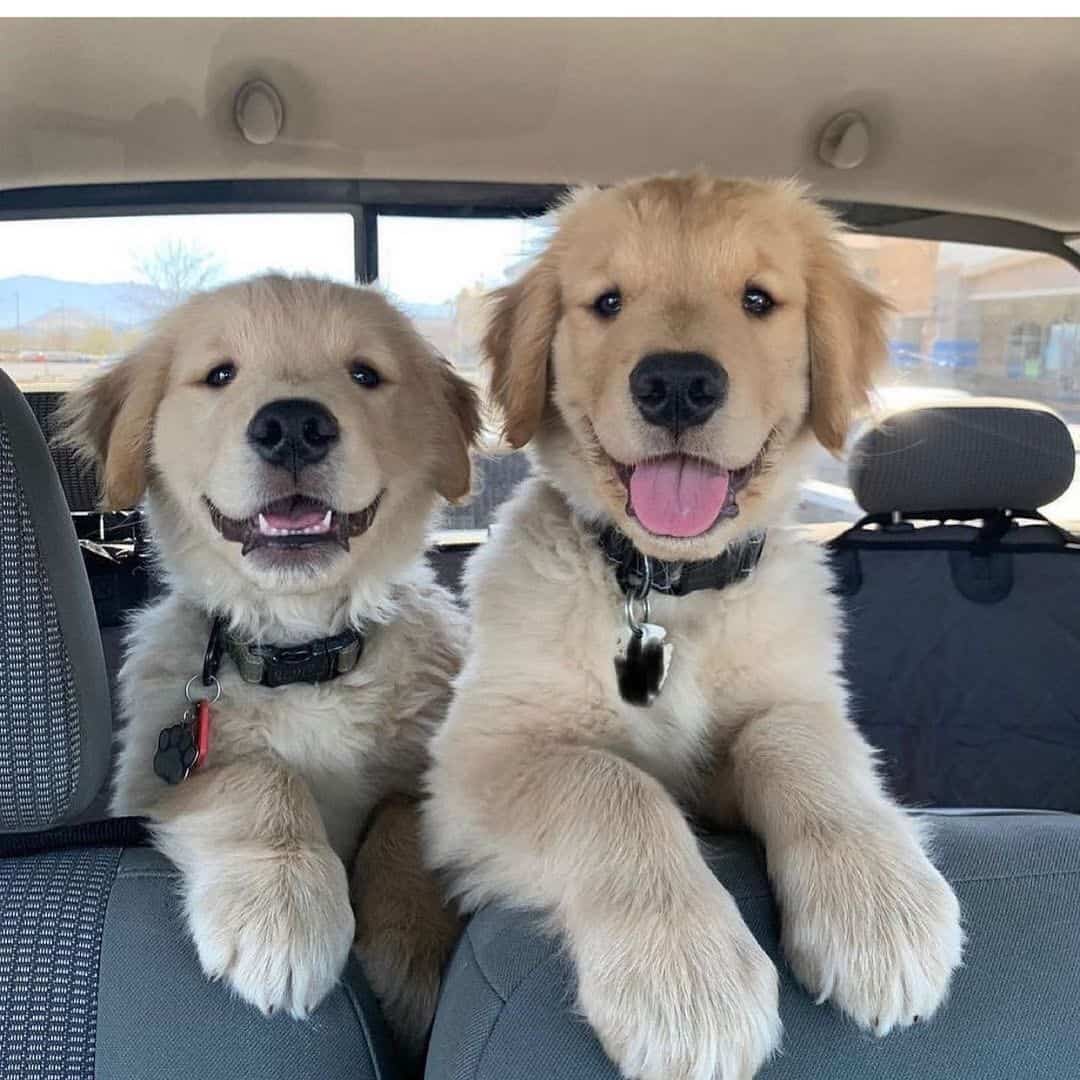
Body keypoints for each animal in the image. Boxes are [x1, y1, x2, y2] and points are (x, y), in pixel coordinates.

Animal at [59, 274, 479, 1058]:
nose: (292, 425)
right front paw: (283, 913)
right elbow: (258, 776)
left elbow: (404, 813)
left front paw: (407, 955)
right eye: (220, 375)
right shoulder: (151, 784)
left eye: (364, 375)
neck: (303, 652)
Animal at [421, 177, 963, 1080]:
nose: (677, 383)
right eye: (607, 302)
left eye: (758, 300)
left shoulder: (798, 703)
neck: (666, 591)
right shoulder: (476, 762)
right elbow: (611, 784)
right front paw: (685, 981)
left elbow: (794, 744)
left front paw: (881, 909)